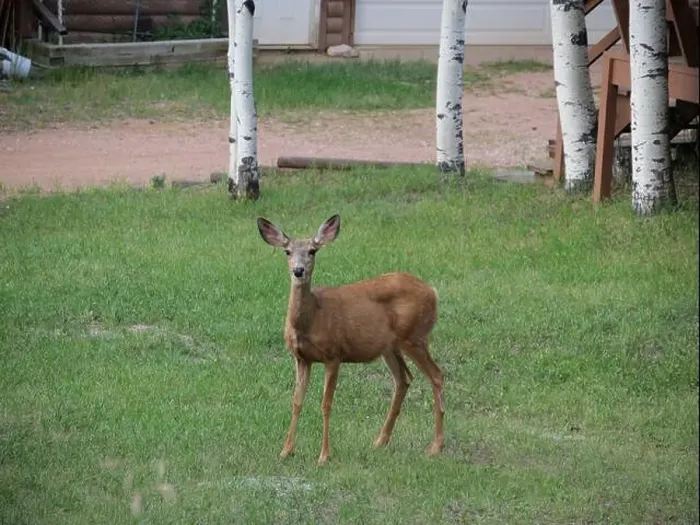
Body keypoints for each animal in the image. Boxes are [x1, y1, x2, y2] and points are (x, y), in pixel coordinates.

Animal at [257, 214, 445, 466]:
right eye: (287, 251)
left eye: (313, 251)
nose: (298, 270)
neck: (312, 318)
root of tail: (433, 291)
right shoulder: (301, 358)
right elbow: (296, 401)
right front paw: (286, 451)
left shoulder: (334, 354)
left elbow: (326, 403)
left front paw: (324, 455)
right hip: (390, 346)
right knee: (403, 378)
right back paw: (380, 441)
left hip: (415, 336)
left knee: (437, 376)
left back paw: (436, 446)